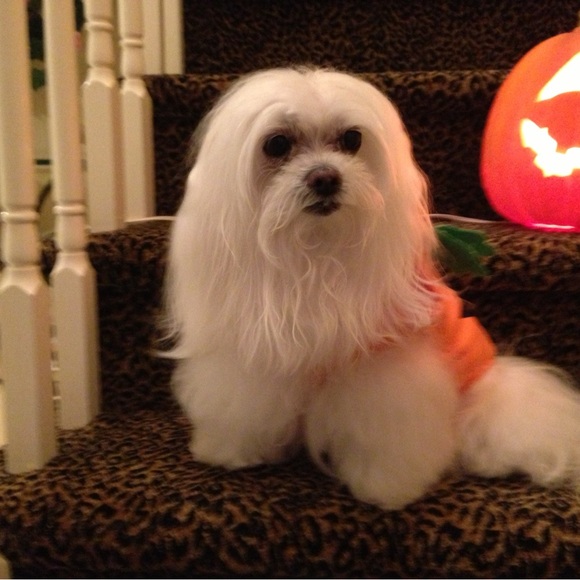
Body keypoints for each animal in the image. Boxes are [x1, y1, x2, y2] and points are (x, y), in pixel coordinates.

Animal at [165, 67, 580, 509]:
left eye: (352, 139)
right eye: (277, 144)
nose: (325, 178)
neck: (316, 254)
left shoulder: (385, 368)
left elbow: (385, 429)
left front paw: (387, 487)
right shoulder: (255, 354)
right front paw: (233, 451)